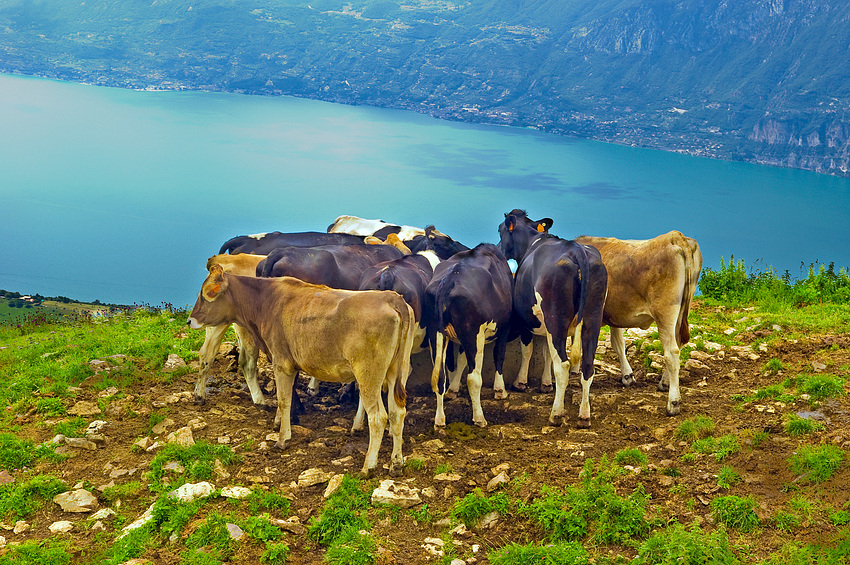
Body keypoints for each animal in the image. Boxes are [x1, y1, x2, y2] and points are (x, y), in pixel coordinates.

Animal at [190, 266, 420, 476]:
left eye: (204, 294)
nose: (189, 320)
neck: (266, 301)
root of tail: (392, 298)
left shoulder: (282, 362)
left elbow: (284, 400)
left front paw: (283, 438)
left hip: (368, 373)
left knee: (379, 417)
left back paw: (368, 466)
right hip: (396, 371)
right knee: (397, 413)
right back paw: (396, 464)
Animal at [422, 242, 510, 428]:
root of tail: (450, 279)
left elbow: (461, 359)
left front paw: (453, 390)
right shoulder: (505, 326)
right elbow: (499, 354)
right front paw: (500, 390)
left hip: (435, 332)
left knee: (439, 377)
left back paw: (439, 420)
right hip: (473, 334)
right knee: (473, 378)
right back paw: (479, 418)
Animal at [496, 208, 608, 428]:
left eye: (500, 229)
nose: (497, 249)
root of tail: (576, 250)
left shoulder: (527, 319)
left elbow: (528, 349)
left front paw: (520, 382)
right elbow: (547, 352)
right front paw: (546, 383)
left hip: (557, 317)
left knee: (563, 365)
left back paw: (556, 414)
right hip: (592, 319)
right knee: (587, 366)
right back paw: (584, 416)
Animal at [568, 229, 704, 414]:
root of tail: (676, 237)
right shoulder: (614, 314)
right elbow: (618, 344)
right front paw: (627, 375)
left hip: (665, 313)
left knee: (672, 353)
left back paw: (673, 402)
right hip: (682, 310)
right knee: (680, 341)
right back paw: (665, 382)